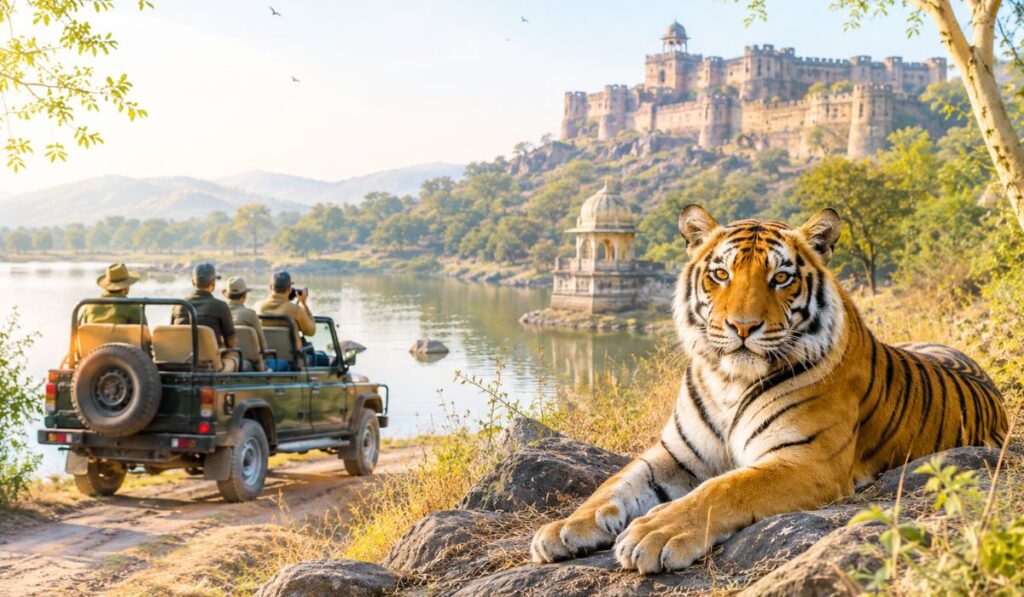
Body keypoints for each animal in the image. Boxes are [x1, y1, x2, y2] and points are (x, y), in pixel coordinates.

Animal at [531, 205, 1008, 574]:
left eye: (781, 278)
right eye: (720, 274)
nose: (742, 327)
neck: (728, 380)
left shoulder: (807, 459)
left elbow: (725, 488)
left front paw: (655, 531)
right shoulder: (675, 454)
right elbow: (614, 484)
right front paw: (564, 528)